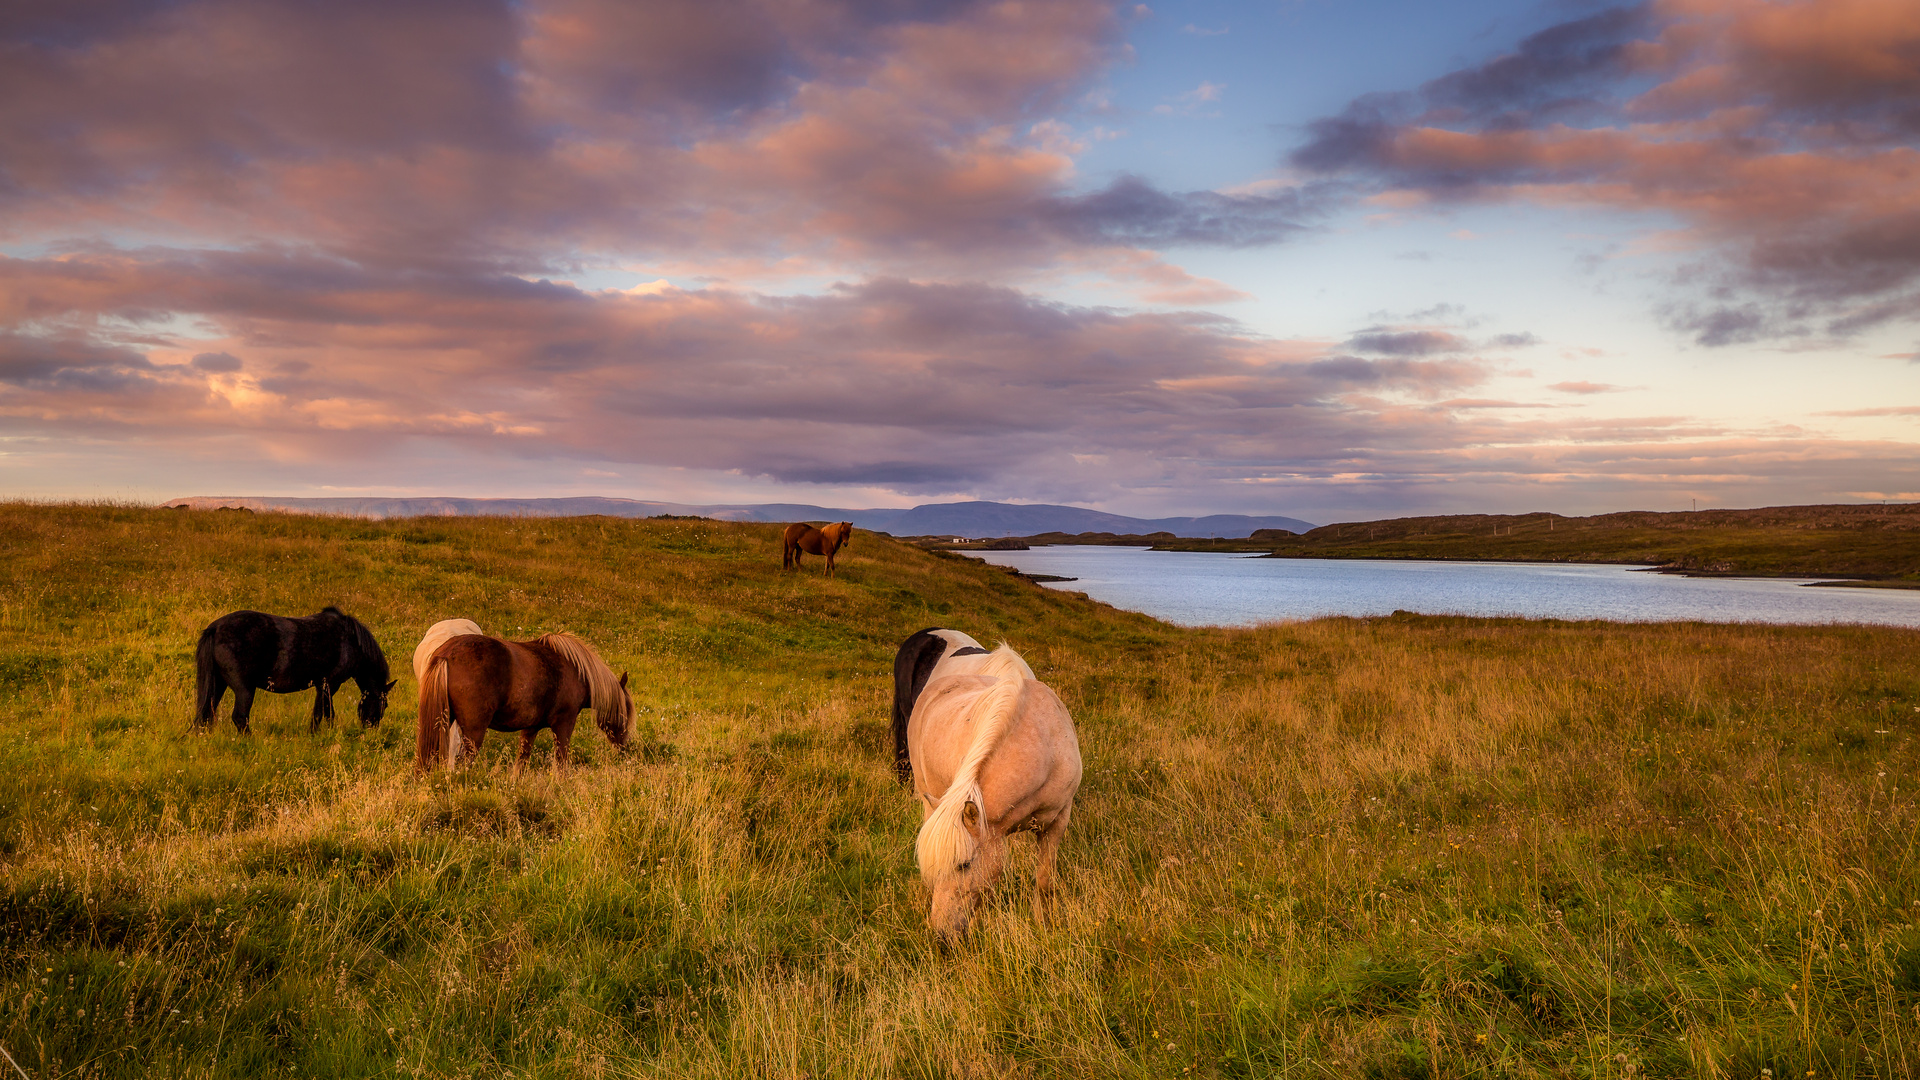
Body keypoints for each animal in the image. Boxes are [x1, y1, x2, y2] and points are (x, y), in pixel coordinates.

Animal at [194, 607, 397, 730]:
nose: (370, 728)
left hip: (218, 684)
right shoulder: (329, 685)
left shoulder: (323, 686)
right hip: (244, 689)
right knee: (240, 718)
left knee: (205, 715)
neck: (351, 640)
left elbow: (325, 713)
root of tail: (215, 628)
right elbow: (322, 713)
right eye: (384, 704)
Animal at [416, 630, 633, 772]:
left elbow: (522, 761)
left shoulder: (530, 728)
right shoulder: (564, 724)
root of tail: (446, 654)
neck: (576, 671)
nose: (624, 749)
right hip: (473, 732)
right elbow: (562, 761)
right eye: (626, 713)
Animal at [902, 641, 1075, 937]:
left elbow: (1044, 881)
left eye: (964, 864)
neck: (1044, 750)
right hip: (928, 796)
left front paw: (1044, 926)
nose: (941, 935)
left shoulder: (1057, 821)